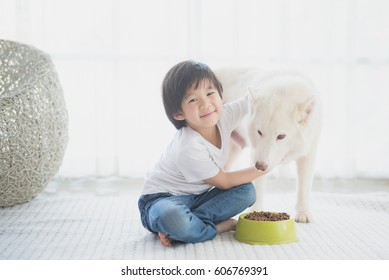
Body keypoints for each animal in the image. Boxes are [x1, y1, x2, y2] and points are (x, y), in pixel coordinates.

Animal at [215, 68, 322, 223]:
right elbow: (258, 186)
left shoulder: (308, 154)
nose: (260, 166)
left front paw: (303, 212)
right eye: (259, 132)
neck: (285, 90)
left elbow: (303, 186)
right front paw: (256, 213)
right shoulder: (256, 155)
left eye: (281, 136)